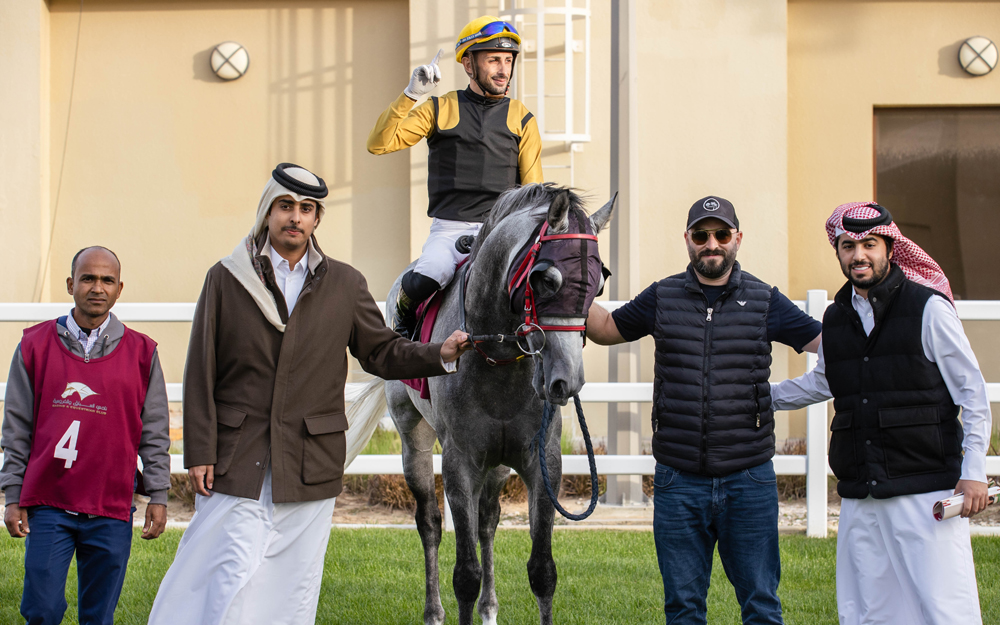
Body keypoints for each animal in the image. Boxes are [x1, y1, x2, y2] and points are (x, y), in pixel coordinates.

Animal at [352, 184, 616, 624]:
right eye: (545, 279)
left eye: (598, 286)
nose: (565, 382)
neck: (499, 362)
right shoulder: (459, 463)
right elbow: (465, 574)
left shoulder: (542, 461)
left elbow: (542, 571)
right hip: (413, 441)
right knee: (430, 523)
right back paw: (433, 612)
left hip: (498, 464)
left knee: (487, 522)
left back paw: (489, 610)